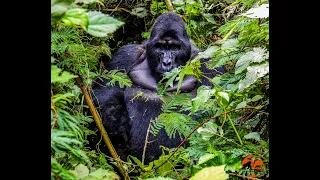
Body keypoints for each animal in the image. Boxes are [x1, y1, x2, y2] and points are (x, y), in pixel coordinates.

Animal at [90, 11, 225, 164]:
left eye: (174, 48)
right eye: (160, 47)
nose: (166, 63)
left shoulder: (207, 60)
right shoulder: (126, 54)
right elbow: (103, 92)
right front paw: (118, 122)